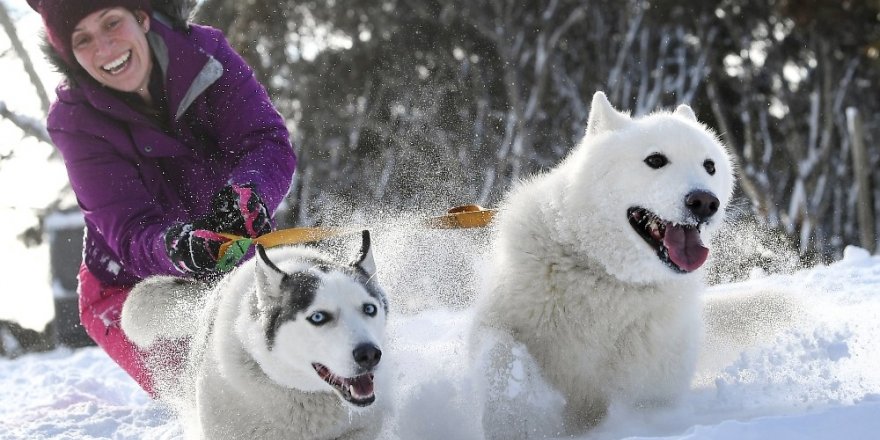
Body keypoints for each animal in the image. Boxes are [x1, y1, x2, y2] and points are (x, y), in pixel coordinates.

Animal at [474, 92, 736, 436]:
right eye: (655, 160)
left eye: (709, 166)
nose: (705, 202)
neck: (606, 277)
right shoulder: (500, 322)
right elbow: (500, 357)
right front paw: (515, 418)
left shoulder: (649, 388)